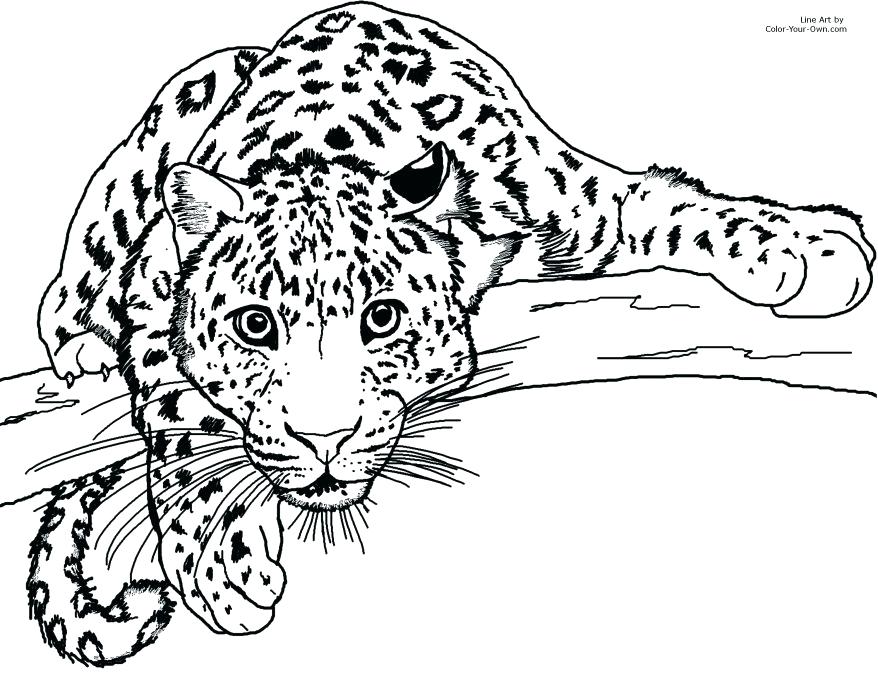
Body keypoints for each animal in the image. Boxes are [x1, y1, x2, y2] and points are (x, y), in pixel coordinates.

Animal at [29, 1, 874, 665]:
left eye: (381, 318)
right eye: (255, 326)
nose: (323, 440)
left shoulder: (586, 203)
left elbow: (684, 209)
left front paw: (809, 247)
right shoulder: (152, 275)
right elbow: (179, 412)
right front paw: (222, 562)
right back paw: (77, 342)